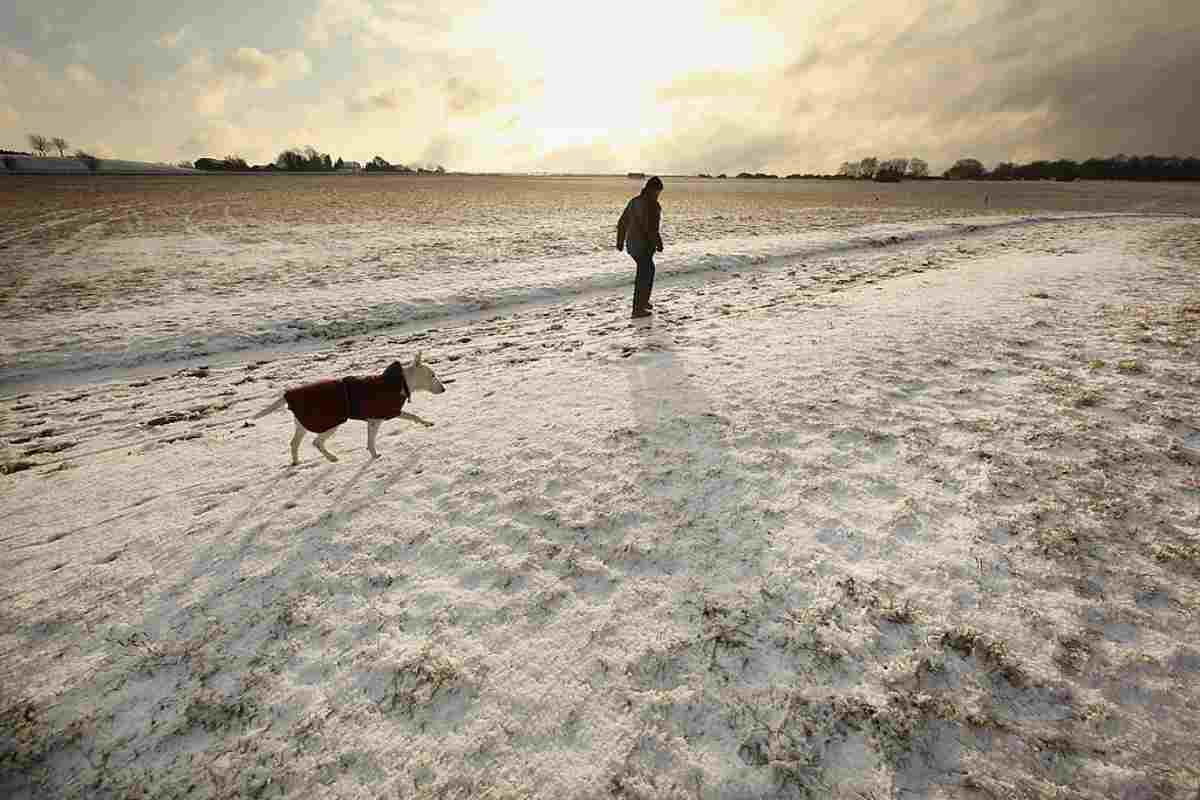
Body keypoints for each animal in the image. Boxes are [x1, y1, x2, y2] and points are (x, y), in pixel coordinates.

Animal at [253, 352, 446, 470]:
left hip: (302, 425)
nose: (444, 389)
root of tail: (289, 395)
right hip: (331, 423)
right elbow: (412, 416)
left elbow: (372, 439)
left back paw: (296, 461)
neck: (400, 381)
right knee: (316, 442)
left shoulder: (374, 420)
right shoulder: (383, 416)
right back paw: (332, 457)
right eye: (433, 375)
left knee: (294, 443)